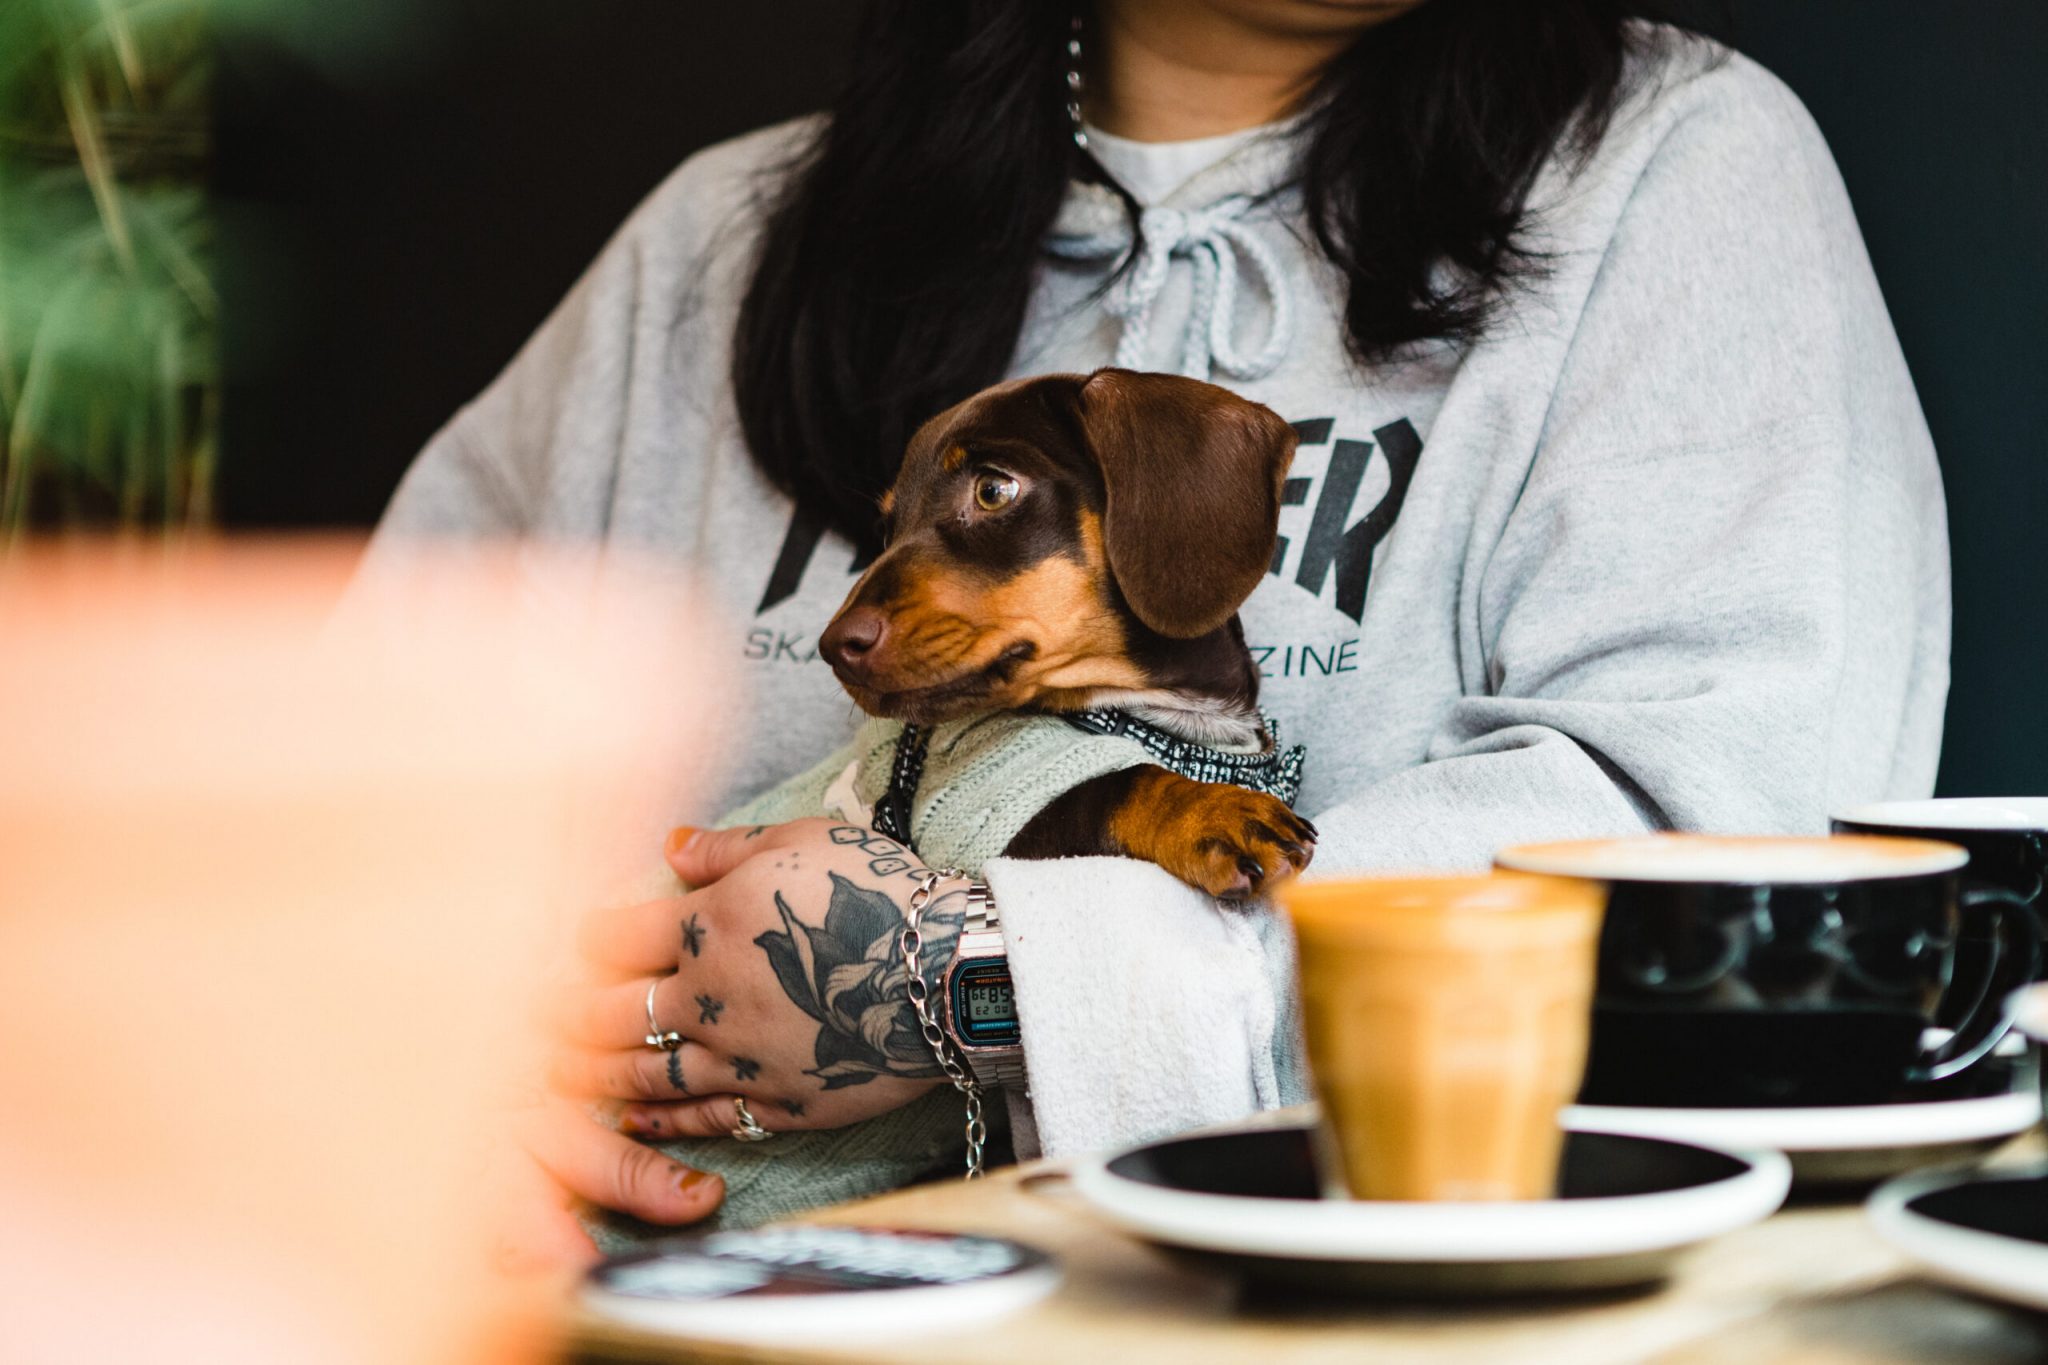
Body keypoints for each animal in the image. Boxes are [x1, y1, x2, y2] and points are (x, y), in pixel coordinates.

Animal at [815, 366, 1310, 896]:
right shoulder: (987, 818)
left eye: (992, 490)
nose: (835, 648)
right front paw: (1210, 810)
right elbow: (1116, 785)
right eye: (887, 530)